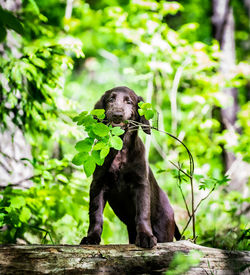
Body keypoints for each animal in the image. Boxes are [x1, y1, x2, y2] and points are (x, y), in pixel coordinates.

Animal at [81, 87, 181, 250]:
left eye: (129, 101)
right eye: (111, 99)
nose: (117, 114)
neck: (120, 149)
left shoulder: (140, 184)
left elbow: (142, 213)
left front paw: (146, 237)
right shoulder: (98, 184)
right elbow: (96, 214)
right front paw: (91, 237)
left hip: (164, 229)